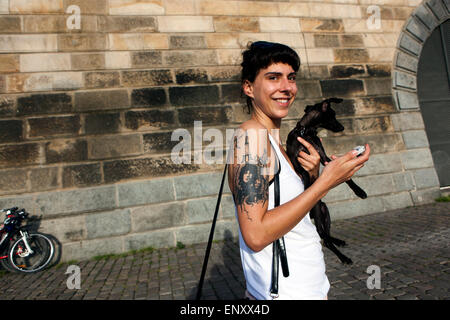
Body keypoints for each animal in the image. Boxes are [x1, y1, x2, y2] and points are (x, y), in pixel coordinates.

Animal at [286, 97, 368, 264]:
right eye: (333, 115)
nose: (342, 127)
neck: (306, 133)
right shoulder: (297, 164)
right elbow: (305, 176)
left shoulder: (323, 158)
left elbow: (348, 179)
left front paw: (359, 191)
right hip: (318, 213)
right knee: (324, 238)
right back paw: (343, 257)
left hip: (324, 210)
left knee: (326, 236)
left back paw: (338, 241)